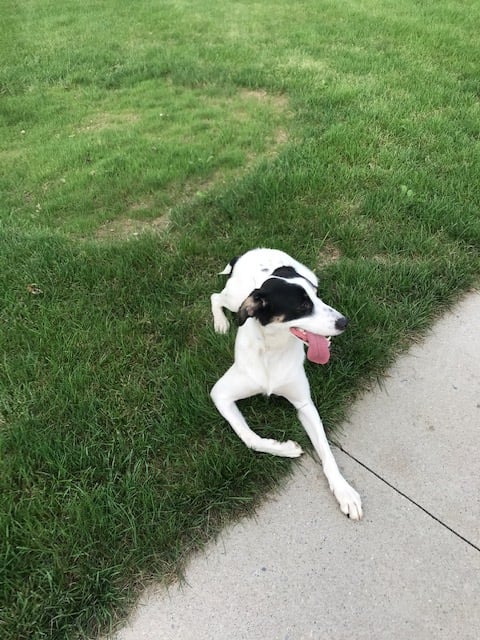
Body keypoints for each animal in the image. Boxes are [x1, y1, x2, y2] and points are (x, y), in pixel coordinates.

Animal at [210, 248, 362, 520]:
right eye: (302, 305)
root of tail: (254, 251)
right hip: (235, 298)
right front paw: (285, 448)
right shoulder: (220, 394)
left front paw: (344, 491)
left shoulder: (304, 404)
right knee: (215, 297)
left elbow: (326, 451)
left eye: (316, 298)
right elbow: (249, 437)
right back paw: (220, 322)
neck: (272, 350)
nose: (344, 322)